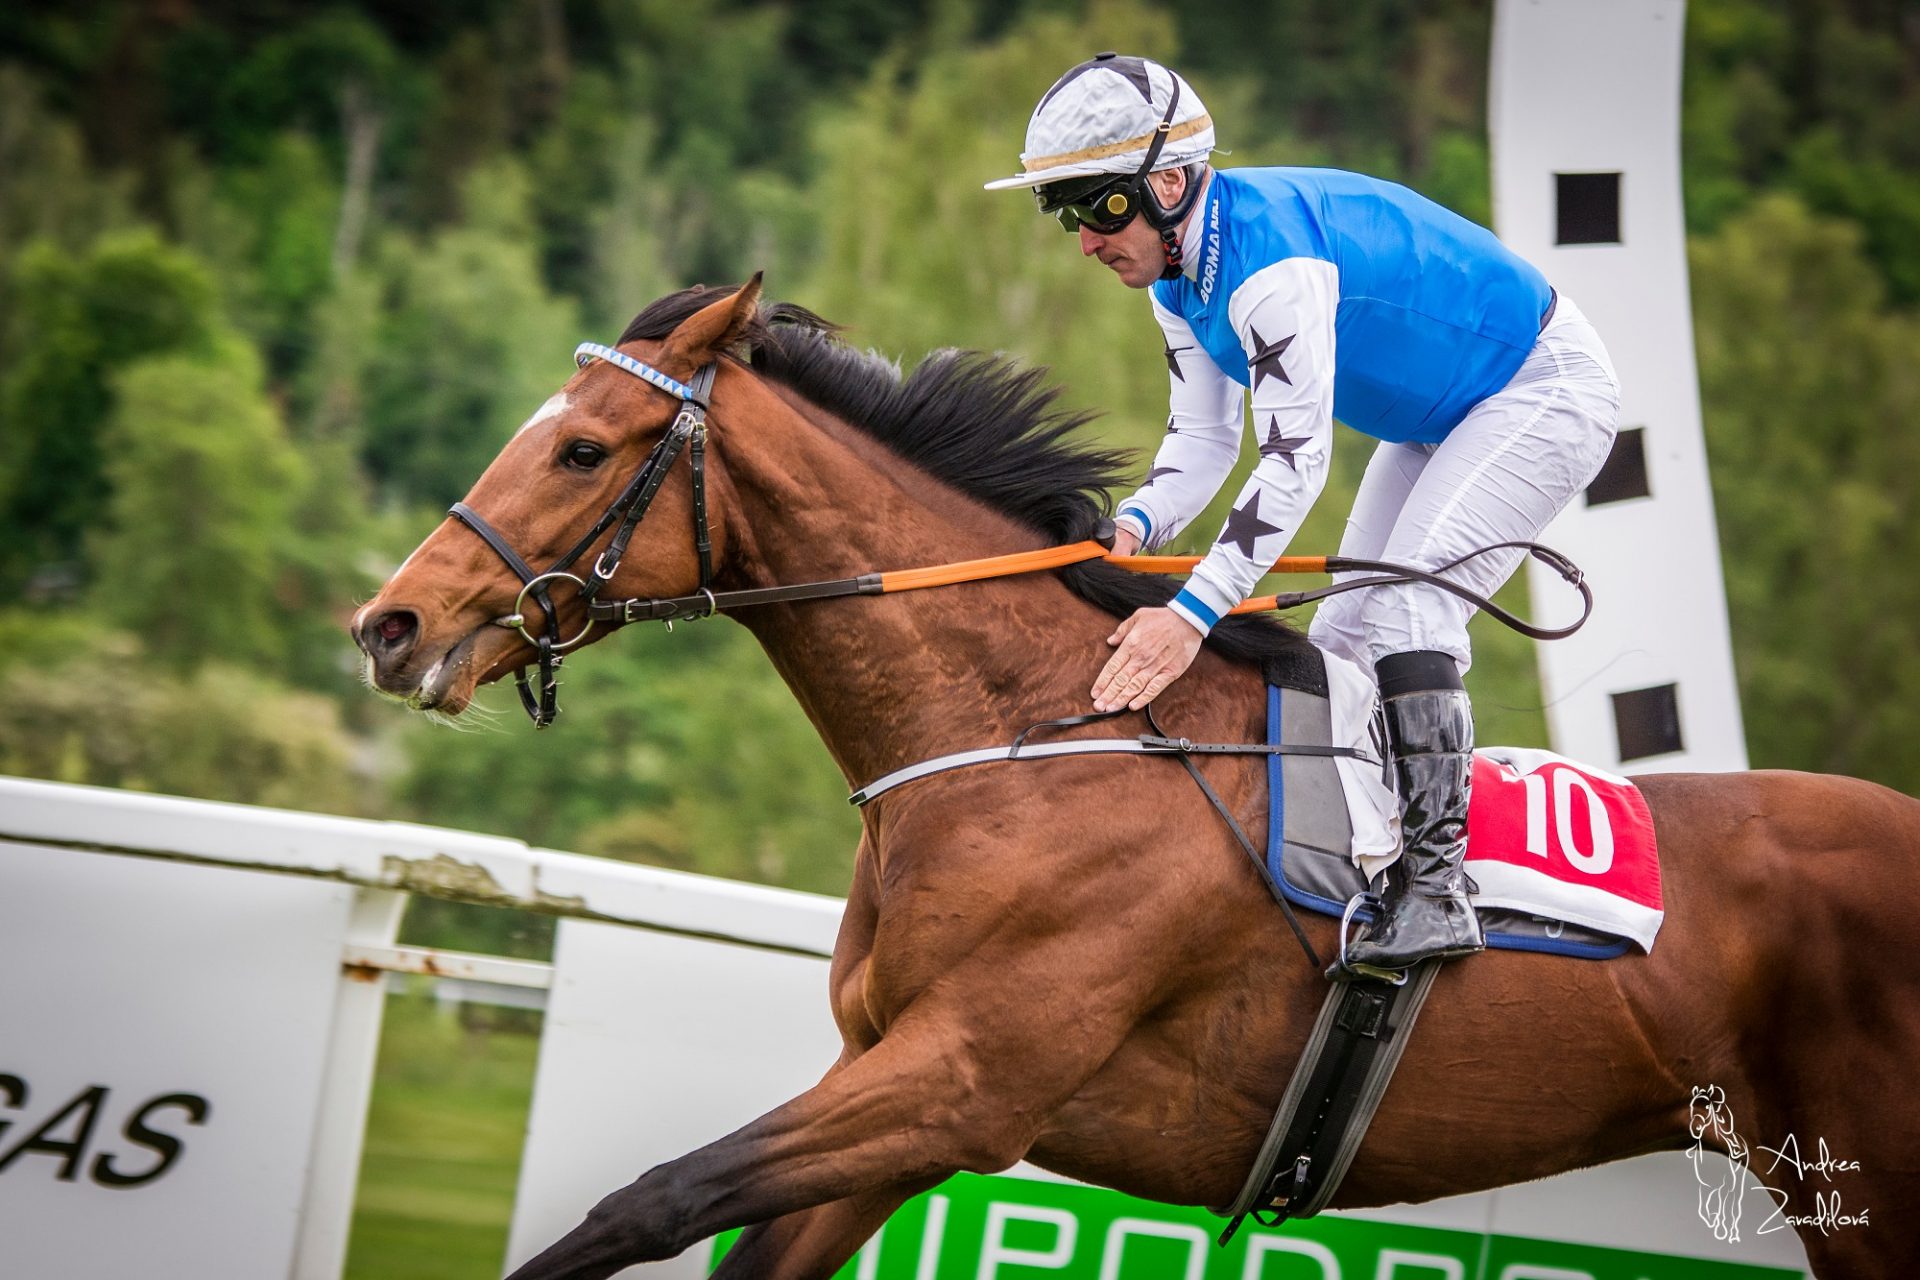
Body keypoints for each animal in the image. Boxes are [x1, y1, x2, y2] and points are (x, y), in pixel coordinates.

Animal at [353, 282, 1912, 1280]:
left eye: (582, 446)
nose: (391, 625)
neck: (1030, 737)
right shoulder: (895, 1095)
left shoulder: (963, 1083)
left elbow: (649, 1201)